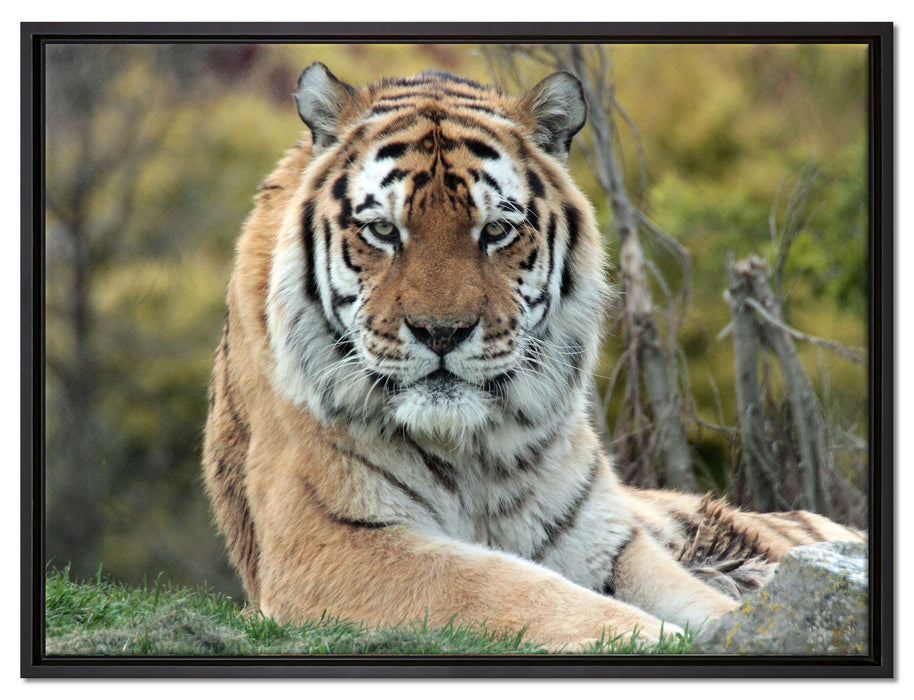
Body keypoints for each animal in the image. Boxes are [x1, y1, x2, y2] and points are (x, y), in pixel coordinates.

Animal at [202, 62, 864, 651]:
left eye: (495, 232)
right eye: (384, 232)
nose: (441, 333)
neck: (470, 452)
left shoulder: (606, 538)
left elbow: (697, 599)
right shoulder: (334, 542)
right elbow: (505, 587)